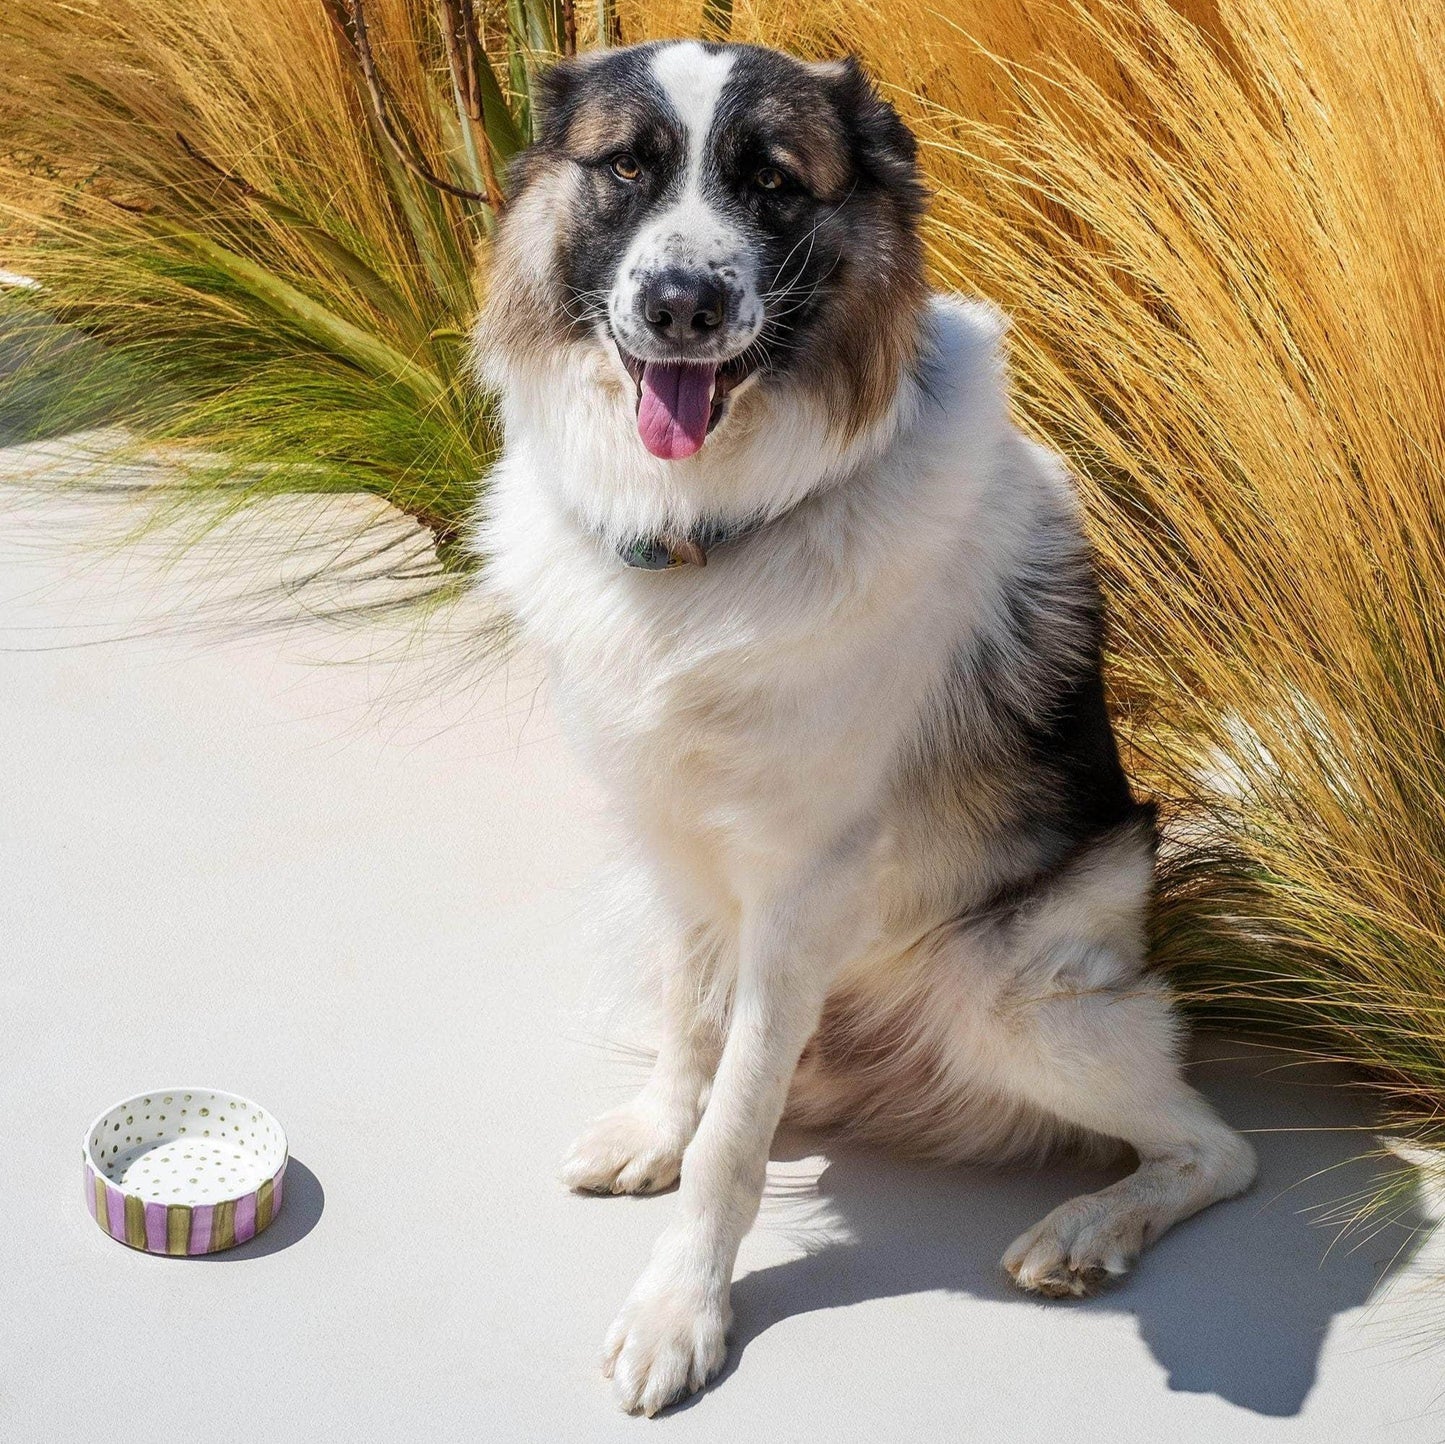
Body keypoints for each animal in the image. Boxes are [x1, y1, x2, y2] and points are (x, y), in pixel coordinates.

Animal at [471, 36, 1254, 1422]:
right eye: (625, 168)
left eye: (775, 184)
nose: (680, 305)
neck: (713, 535)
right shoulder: (679, 845)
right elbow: (694, 1032)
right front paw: (659, 1129)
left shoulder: (802, 884)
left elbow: (732, 1140)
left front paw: (680, 1307)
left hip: (1007, 997)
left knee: (1217, 1148)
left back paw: (1087, 1225)